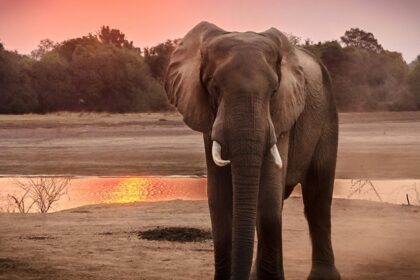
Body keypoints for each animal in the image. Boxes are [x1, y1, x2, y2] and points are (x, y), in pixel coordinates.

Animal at [164, 21, 342, 280]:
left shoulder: (282, 115)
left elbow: (267, 197)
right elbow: (219, 198)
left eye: (274, 90)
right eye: (214, 87)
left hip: (328, 113)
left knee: (317, 197)